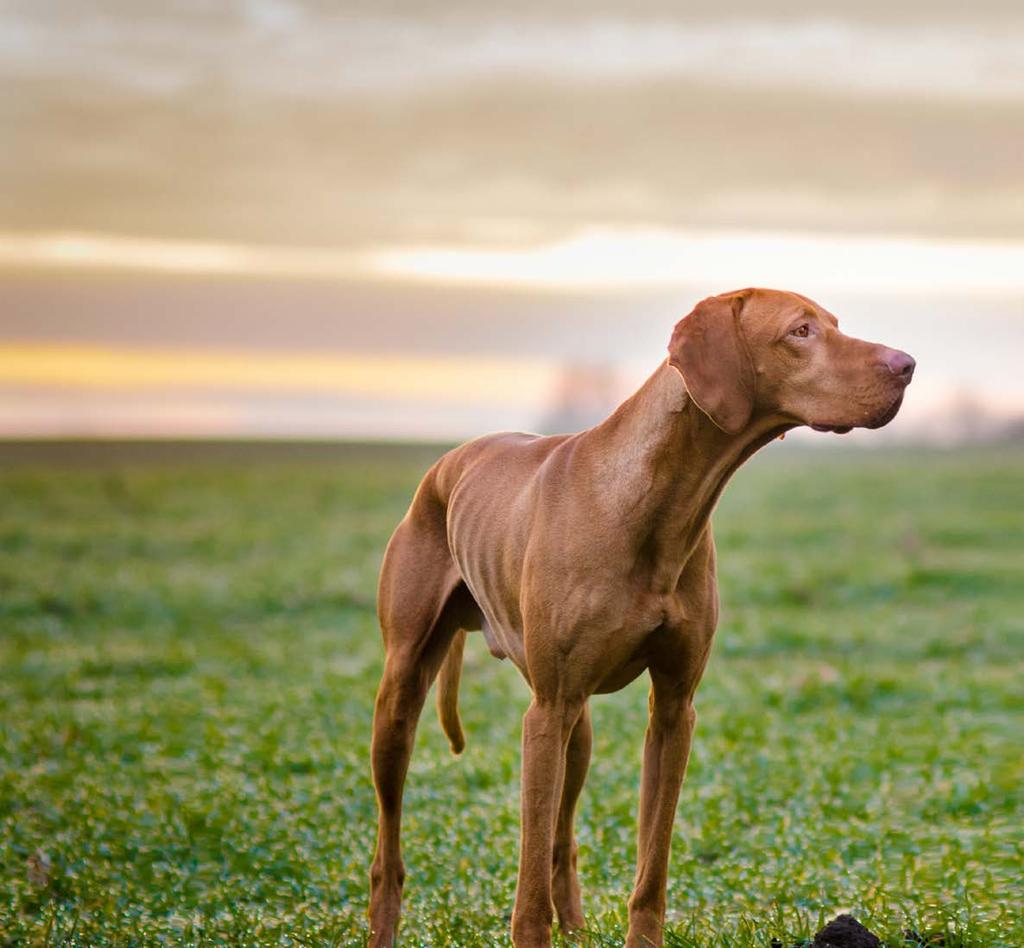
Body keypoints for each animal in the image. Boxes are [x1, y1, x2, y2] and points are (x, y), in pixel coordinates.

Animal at [366, 286, 913, 945]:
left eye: (833, 322)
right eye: (800, 331)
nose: (908, 365)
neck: (658, 499)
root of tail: (449, 460)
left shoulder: (674, 710)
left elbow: (651, 865)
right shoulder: (545, 712)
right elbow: (528, 886)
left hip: (576, 730)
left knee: (563, 841)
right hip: (407, 697)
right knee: (390, 851)